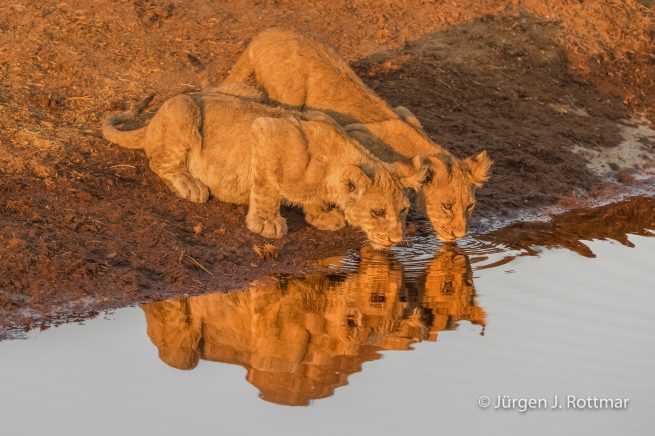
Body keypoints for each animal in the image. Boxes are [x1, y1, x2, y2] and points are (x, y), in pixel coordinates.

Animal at [102, 91, 427, 249]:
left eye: (404, 210)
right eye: (378, 212)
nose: (398, 241)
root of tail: (151, 123)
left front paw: (321, 215)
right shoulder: (266, 130)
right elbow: (266, 187)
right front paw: (267, 223)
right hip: (183, 108)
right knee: (159, 162)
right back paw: (190, 185)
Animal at [219, 28, 492, 241]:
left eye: (470, 206)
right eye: (447, 206)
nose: (460, 234)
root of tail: (264, 35)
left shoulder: (404, 112)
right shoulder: (355, 137)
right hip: (288, 93)